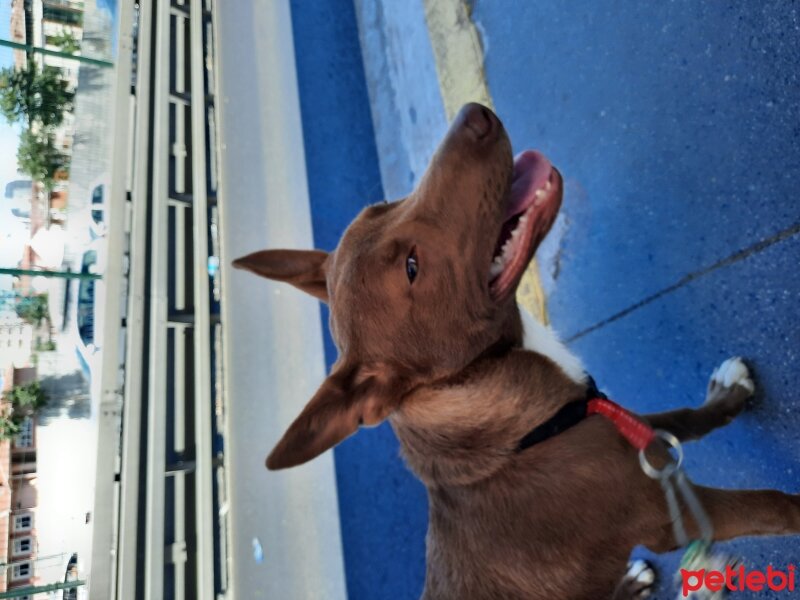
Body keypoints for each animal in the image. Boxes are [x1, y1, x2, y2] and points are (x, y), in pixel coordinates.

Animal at [233, 104, 800, 600]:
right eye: (412, 267)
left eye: (379, 208)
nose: (473, 115)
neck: (521, 439)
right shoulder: (665, 517)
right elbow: (775, 506)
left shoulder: (628, 427)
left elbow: (684, 418)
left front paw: (727, 396)